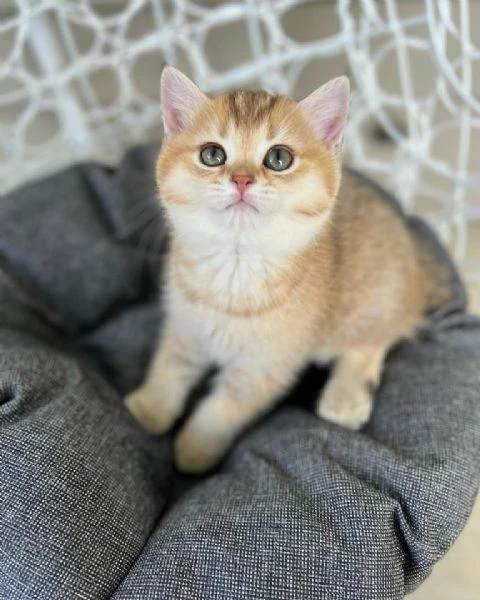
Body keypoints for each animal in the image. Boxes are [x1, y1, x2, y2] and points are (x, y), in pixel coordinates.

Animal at [124, 65, 454, 474]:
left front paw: (195, 450)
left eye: (278, 158)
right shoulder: (185, 329)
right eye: (212, 154)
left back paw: (345, 397)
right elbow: (169, 368)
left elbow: (224, 409)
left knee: (377, 339)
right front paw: (148, 409)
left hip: (370, 305)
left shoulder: (265, 368)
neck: (234, 272)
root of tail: (415, 263)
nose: (242, 179)